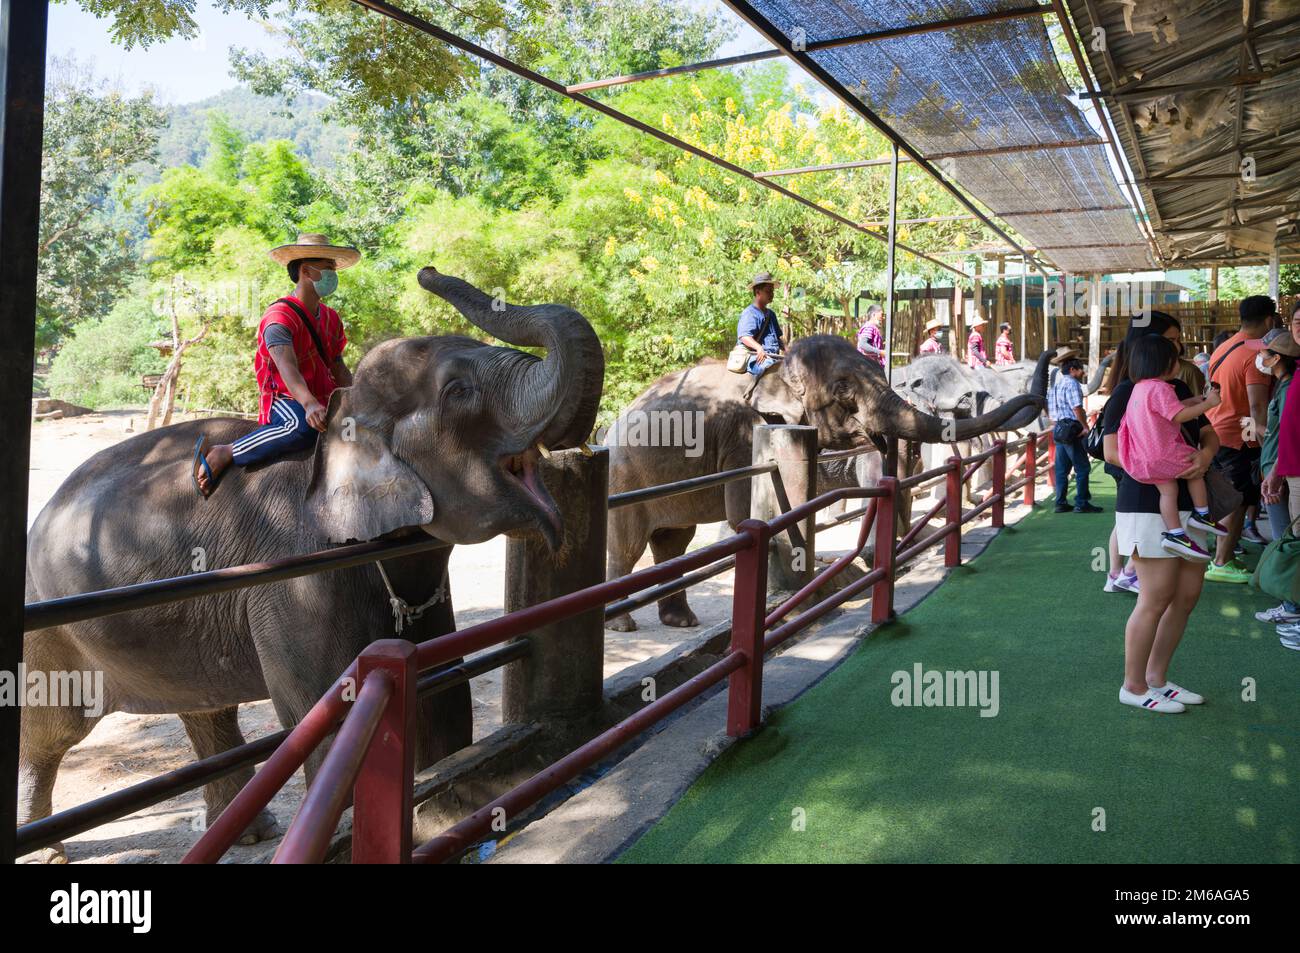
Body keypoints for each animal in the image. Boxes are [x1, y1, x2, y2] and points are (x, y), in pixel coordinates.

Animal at [19, 267, 603, 863]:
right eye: (458, 391)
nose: (428, 273)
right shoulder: (298, 575)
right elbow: (330, 706)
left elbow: (442, 691)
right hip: (50, 625)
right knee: (50, 727)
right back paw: (47, 850)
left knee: (204, 708)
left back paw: (252, 832)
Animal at [603, 335, 1040, 631]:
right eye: (844, 391)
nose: (1036, 395)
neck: (778, 369)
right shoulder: (745, 437)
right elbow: (746, 509)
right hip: (625, 475)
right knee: (628, 546)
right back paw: (622, 624)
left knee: (673, 542)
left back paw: (682, 621)